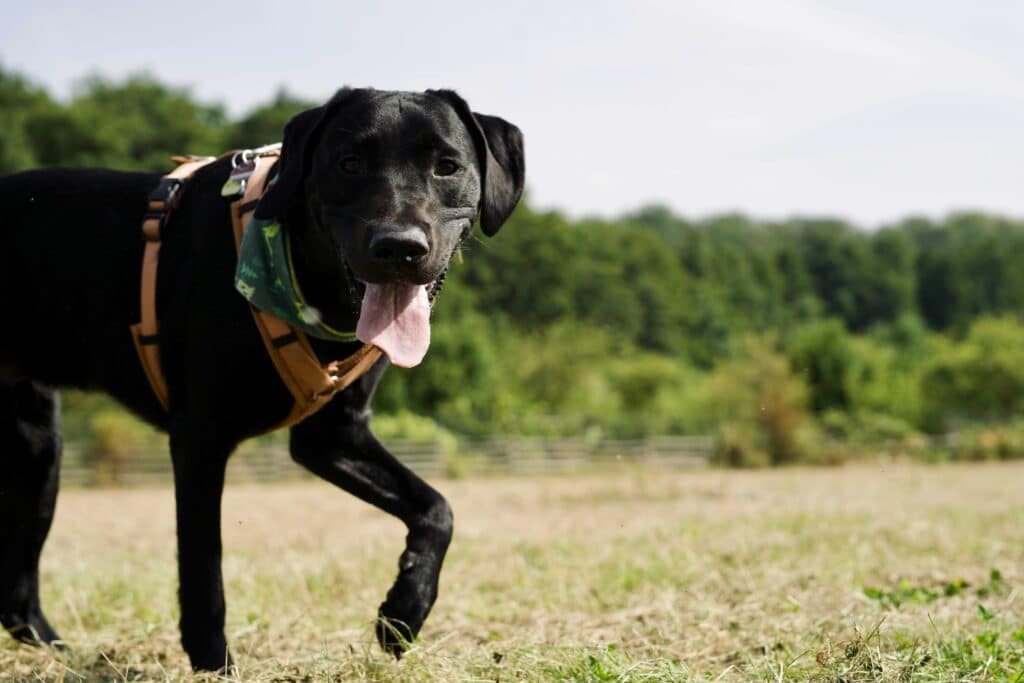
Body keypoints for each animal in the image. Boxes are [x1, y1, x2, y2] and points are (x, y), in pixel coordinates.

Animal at [0, 88, 524, 671]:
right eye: (349, 164)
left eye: (446, 166)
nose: (398, 247)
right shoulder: (200, 437)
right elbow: (204, 565)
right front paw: (213, 661)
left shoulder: (334, 435)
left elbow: (437, 509)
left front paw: (403, 611)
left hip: (38, 451)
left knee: (17, 593)